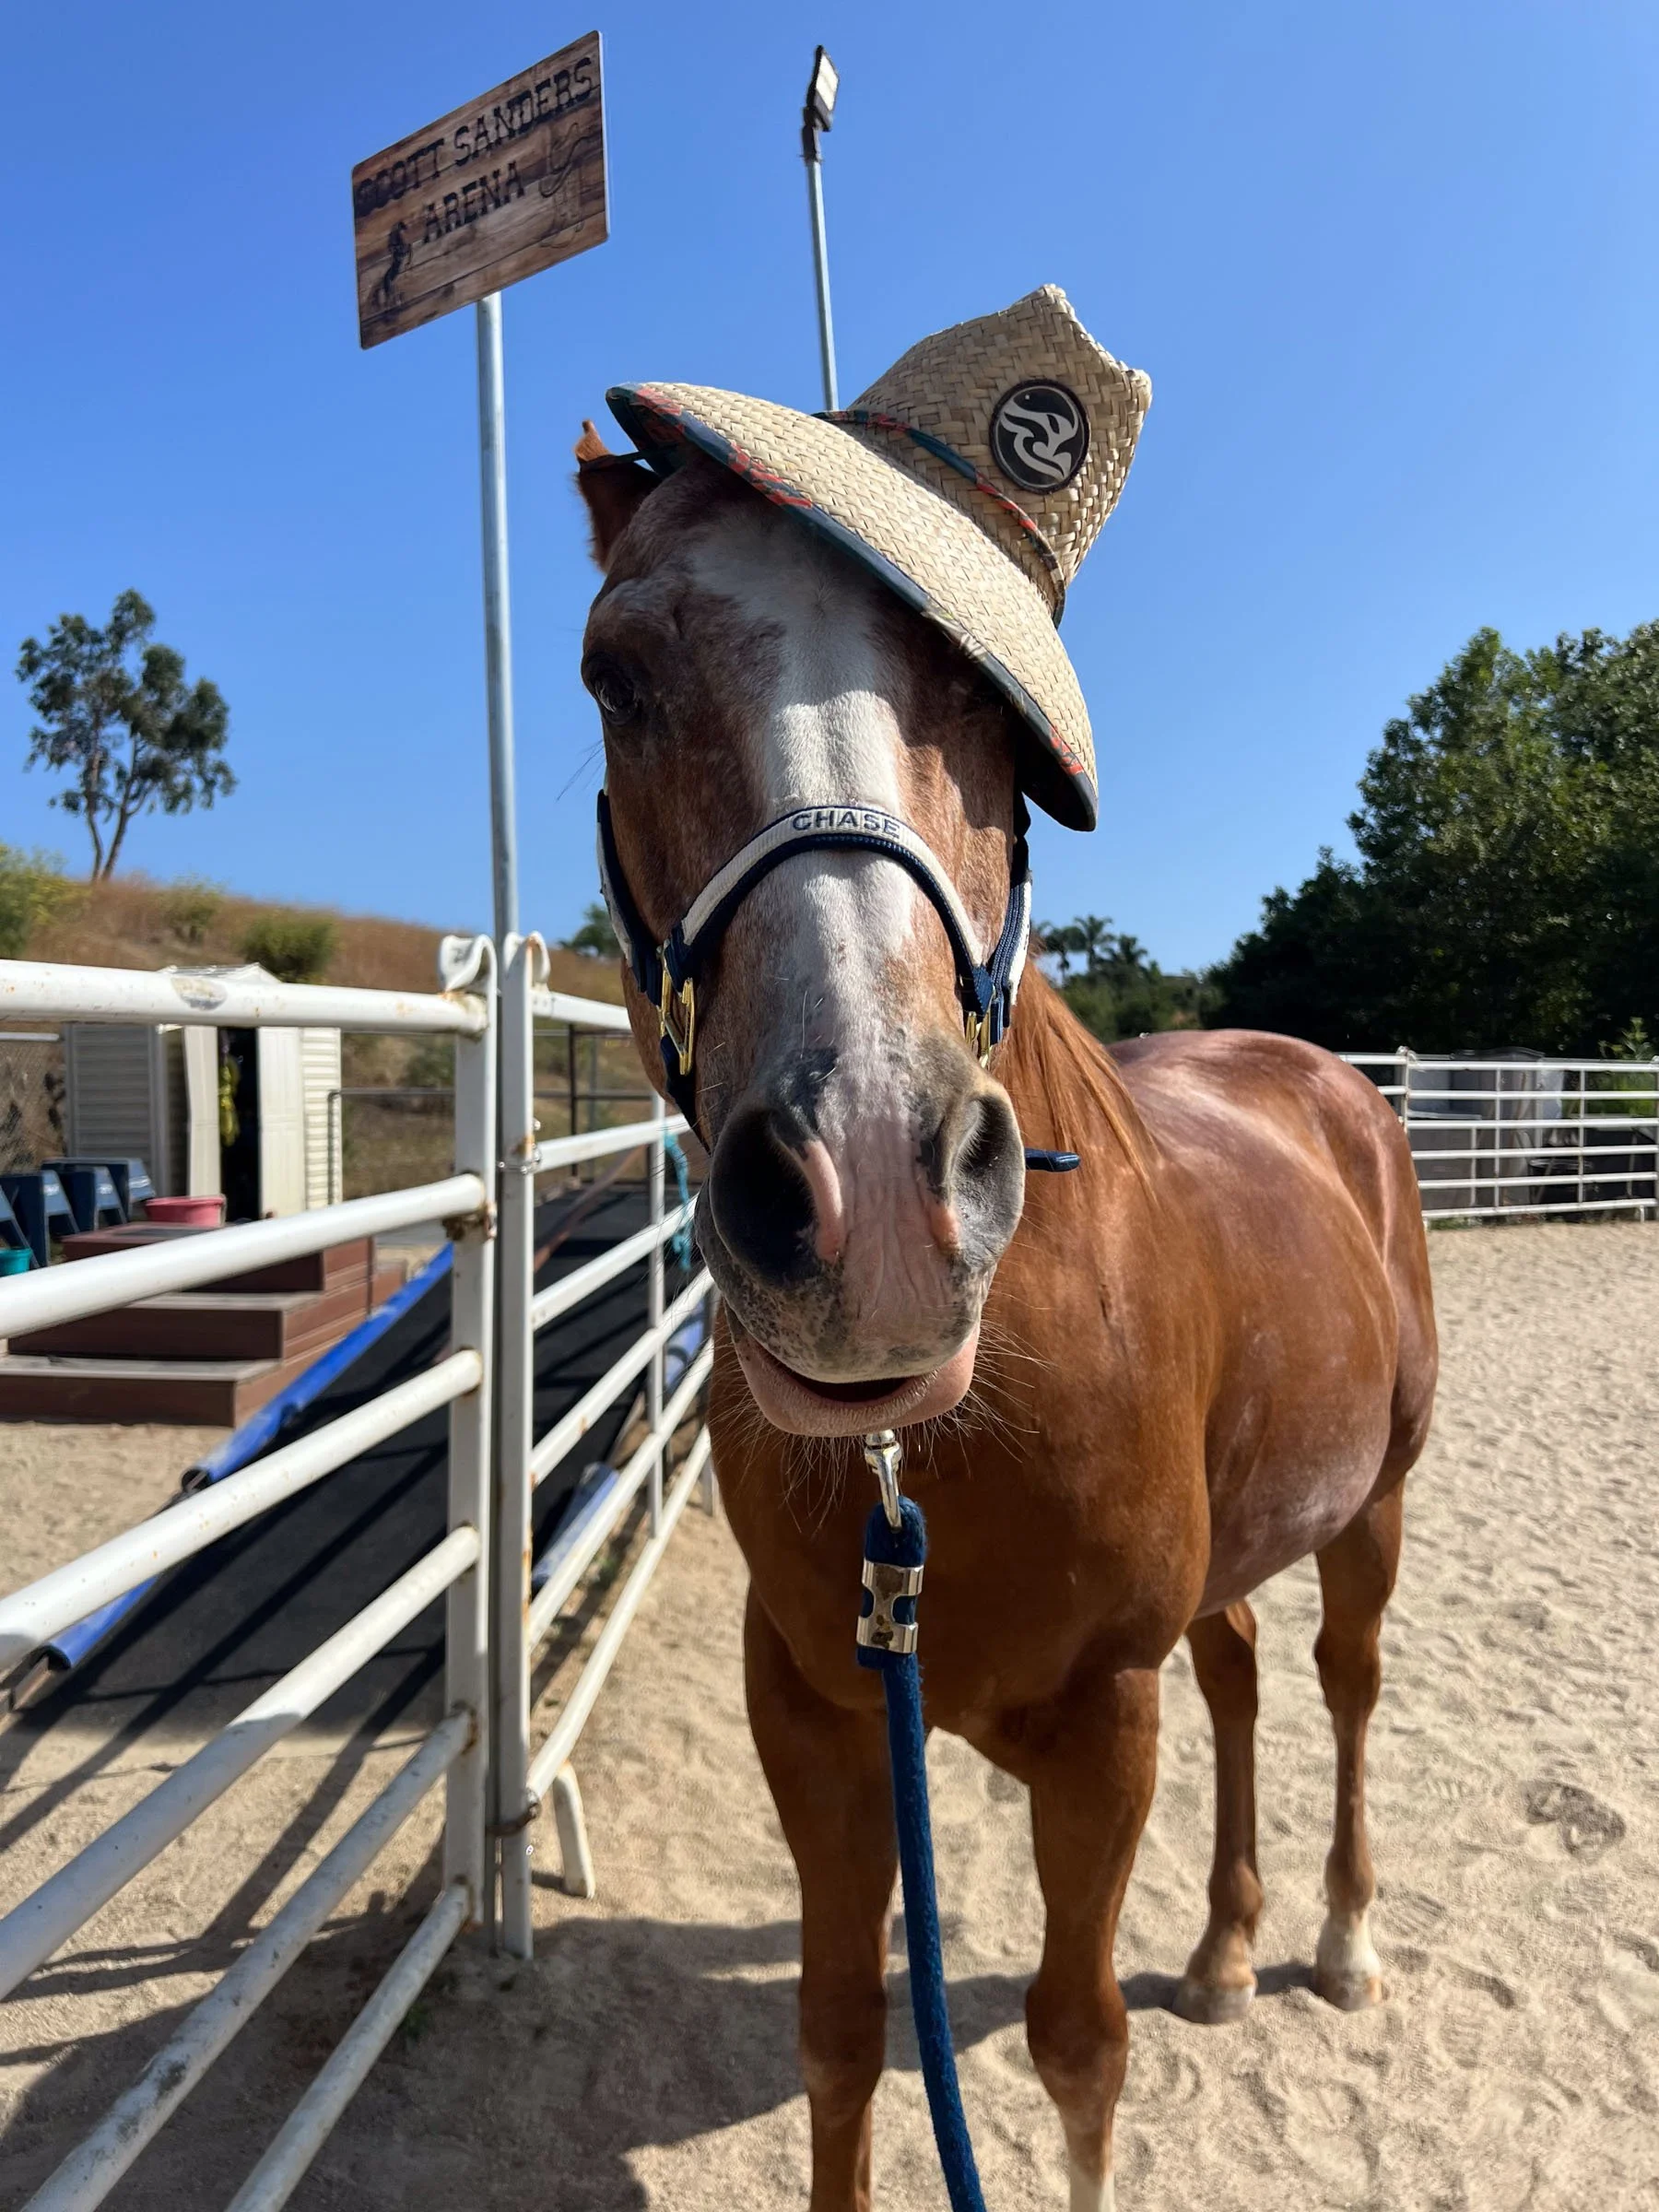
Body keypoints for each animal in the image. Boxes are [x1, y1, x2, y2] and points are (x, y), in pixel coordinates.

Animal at [574, 437, 1438, 2212]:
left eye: (988, 694)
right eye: (614, 677)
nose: (865, 1189)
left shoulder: (1103, 1724)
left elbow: (1076, 2048)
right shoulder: (819, 1714)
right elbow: (840, 2031)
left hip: (1372, 1509)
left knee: (1345, 1681)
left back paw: (1338, 1940)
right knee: (1245, 1680)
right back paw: (1228, 1951)